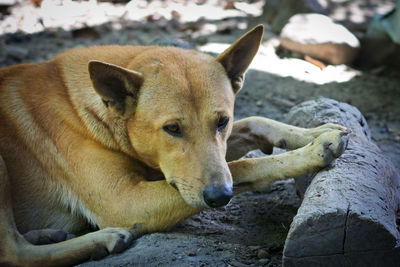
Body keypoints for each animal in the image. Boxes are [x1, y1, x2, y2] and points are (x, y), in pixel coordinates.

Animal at [0, 24, 346, 266]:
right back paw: (103, 240)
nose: (220, 197)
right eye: (172, 129)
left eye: (222, 121)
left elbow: (256, 121)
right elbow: (243, 166)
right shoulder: (125, 202)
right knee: (13, 253)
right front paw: (314, 150)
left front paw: (315, 130)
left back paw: (45, 234)